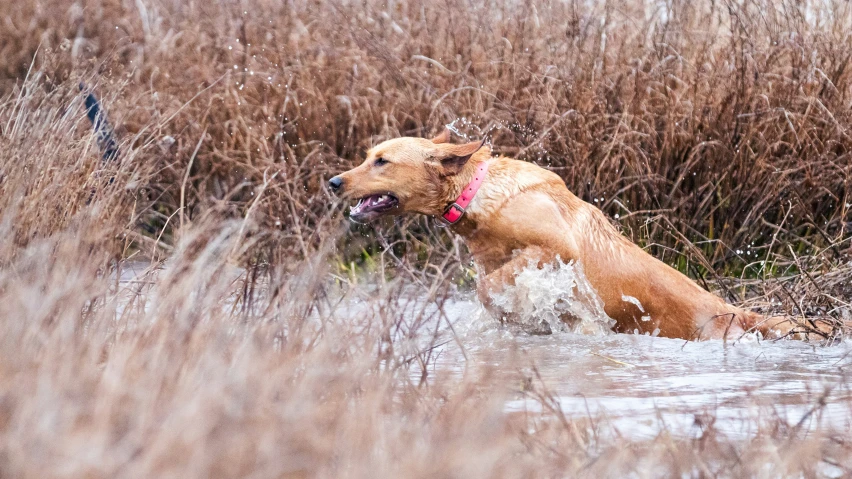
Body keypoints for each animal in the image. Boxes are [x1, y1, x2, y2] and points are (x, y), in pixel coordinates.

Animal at [332, 129, 820, 340]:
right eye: (367, 156)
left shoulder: (557, 248)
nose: (334, 182)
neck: (477, 195)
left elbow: (491, 287)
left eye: (382, 162)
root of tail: (734, 311)